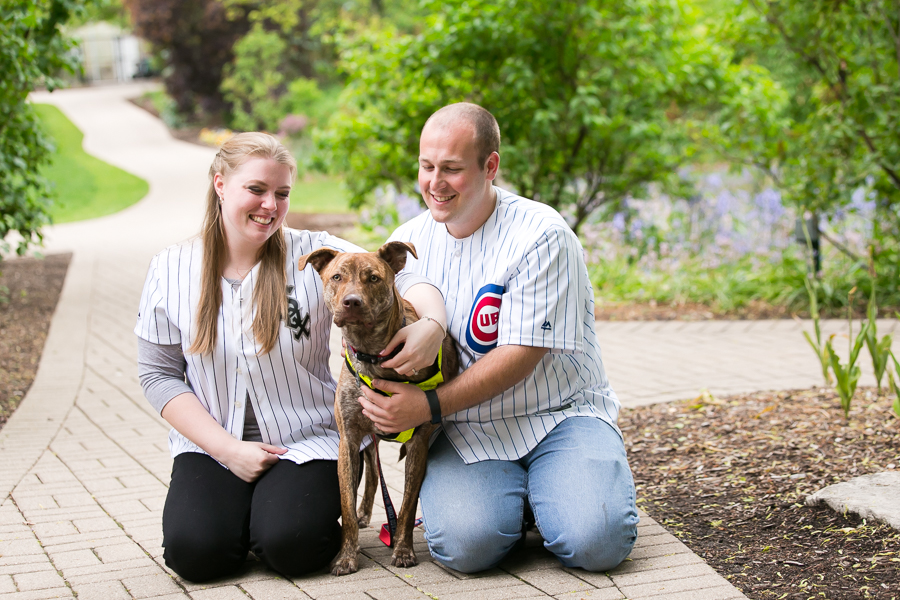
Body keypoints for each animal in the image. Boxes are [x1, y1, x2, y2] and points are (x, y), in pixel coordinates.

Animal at [298, 240, 460, 576]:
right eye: (337, 277)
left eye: (373, 278)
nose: (352, 302)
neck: (373, 353)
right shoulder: (348, 438)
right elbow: (346, 505)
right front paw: (346, 555)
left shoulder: (418, 442)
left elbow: (408, 505)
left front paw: (402, 548)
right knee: (373, 471)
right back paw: (364, 513)